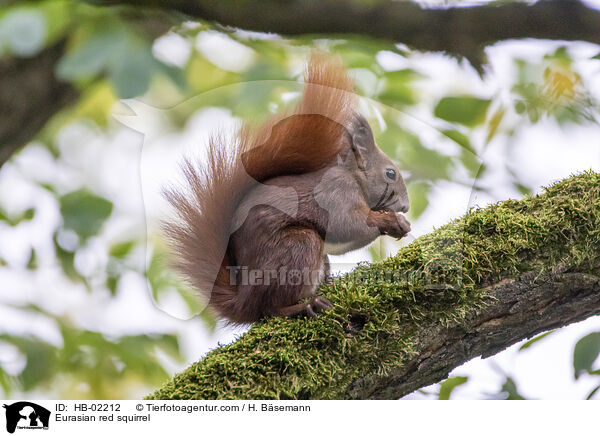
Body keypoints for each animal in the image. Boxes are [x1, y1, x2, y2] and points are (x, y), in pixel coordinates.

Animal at [162, 52, 410, 324]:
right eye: (390, 173)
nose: (406, 207)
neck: (354, 177)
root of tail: (244, 301)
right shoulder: (335, 193)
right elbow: (346, 225)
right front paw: (392, 221)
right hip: (297, 248)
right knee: (270, 307)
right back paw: (305, 306)